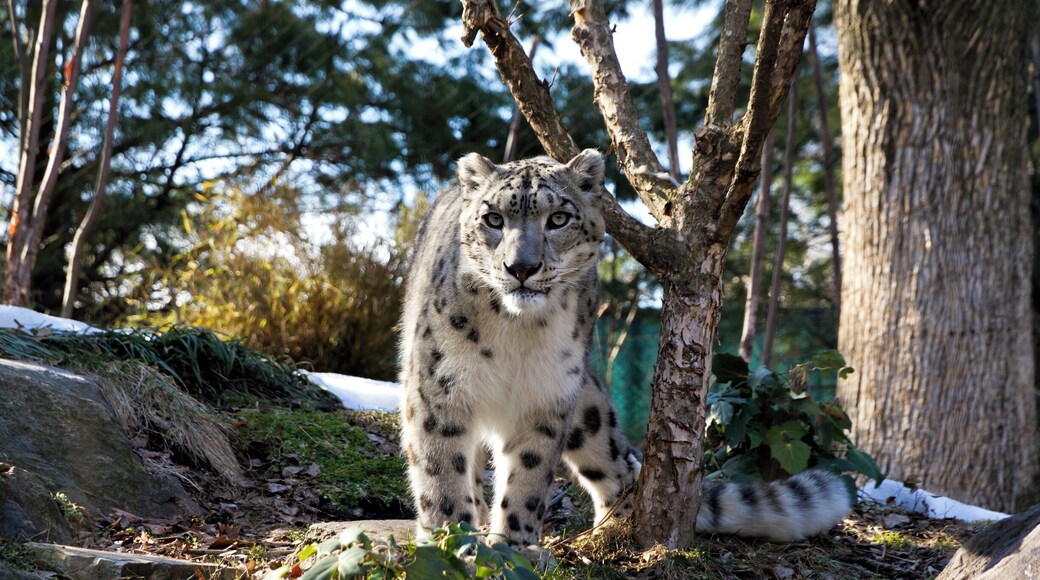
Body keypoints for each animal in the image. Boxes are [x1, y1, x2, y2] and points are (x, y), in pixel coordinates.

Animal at [398, 149, 851, 548]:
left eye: (558, 218)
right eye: (493, 218)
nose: (521, 268)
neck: (515, 334)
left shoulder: (546, 398)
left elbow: (528, 475)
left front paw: (514, 547)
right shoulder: (438, 389)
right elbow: (441, 472)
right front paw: (451, 543)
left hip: (586, 407)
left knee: (615, 466)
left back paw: (611, 532)